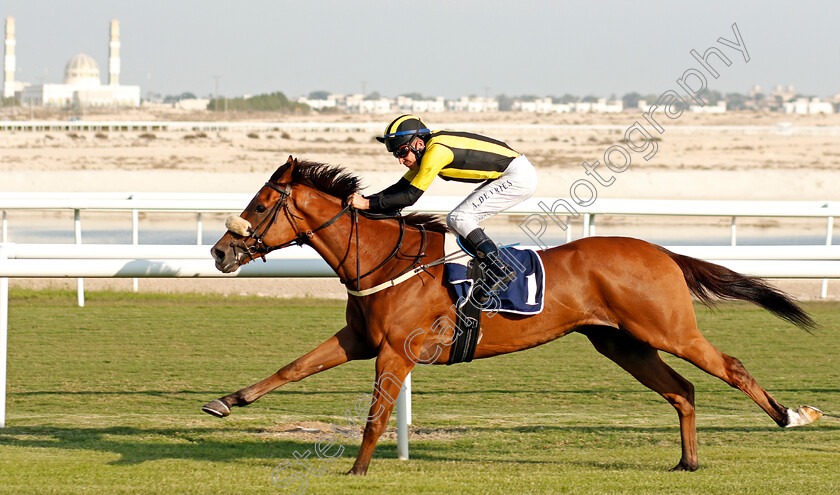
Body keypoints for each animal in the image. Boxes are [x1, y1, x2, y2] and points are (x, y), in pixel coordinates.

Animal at [203, 157, 820, 474]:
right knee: (682, 391)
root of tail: (660, 250)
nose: (219, 252)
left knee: (730, 367)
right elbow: (292, 368)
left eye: (261, 205)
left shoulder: (395, 351)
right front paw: (225, 402)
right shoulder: (358, 340)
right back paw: (687, 462)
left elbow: (377, 414)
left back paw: (792, 416)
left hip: (668, 329)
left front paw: (357, 472)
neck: (385, 259)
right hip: (623, 342)